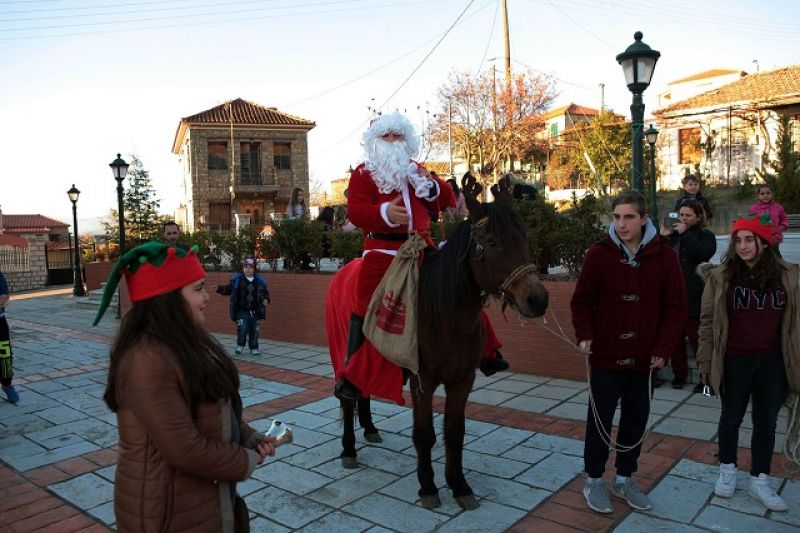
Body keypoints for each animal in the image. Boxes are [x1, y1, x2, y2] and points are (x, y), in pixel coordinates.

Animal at [324, 177, 552, 510]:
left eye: (524, 237)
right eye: (492, 242)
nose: (538, 299)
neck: (445, 312)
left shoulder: (463, 380)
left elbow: (455, 433)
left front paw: (459, 485)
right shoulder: (424, 381)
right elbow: (424, 434)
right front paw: (428, 486)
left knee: (362, 390)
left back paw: (369, 428)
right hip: (343, 355)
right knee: (348, 397)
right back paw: (349, 449)